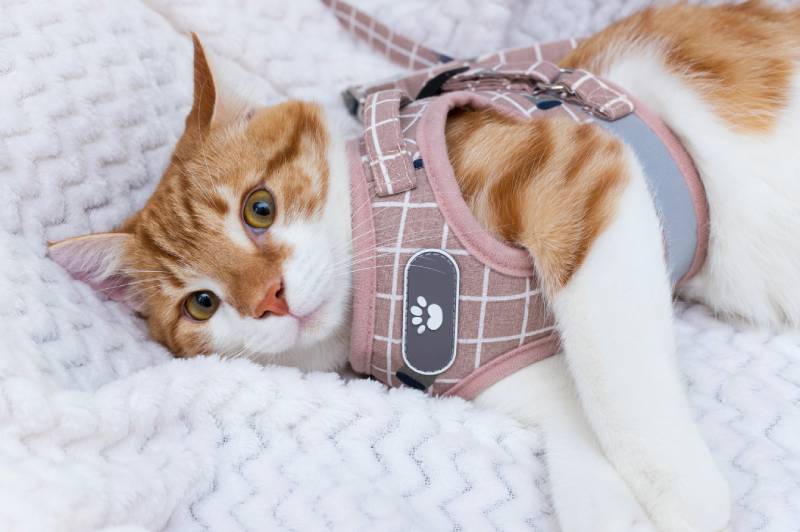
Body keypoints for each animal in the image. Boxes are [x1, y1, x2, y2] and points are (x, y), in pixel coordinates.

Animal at [48, 4, 800, 532]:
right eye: (201, 304)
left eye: (259, 208)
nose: (271, 299)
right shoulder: (503, 369)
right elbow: (577, 431)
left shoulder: (580, 170)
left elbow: (617, 379)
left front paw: (683, 497)